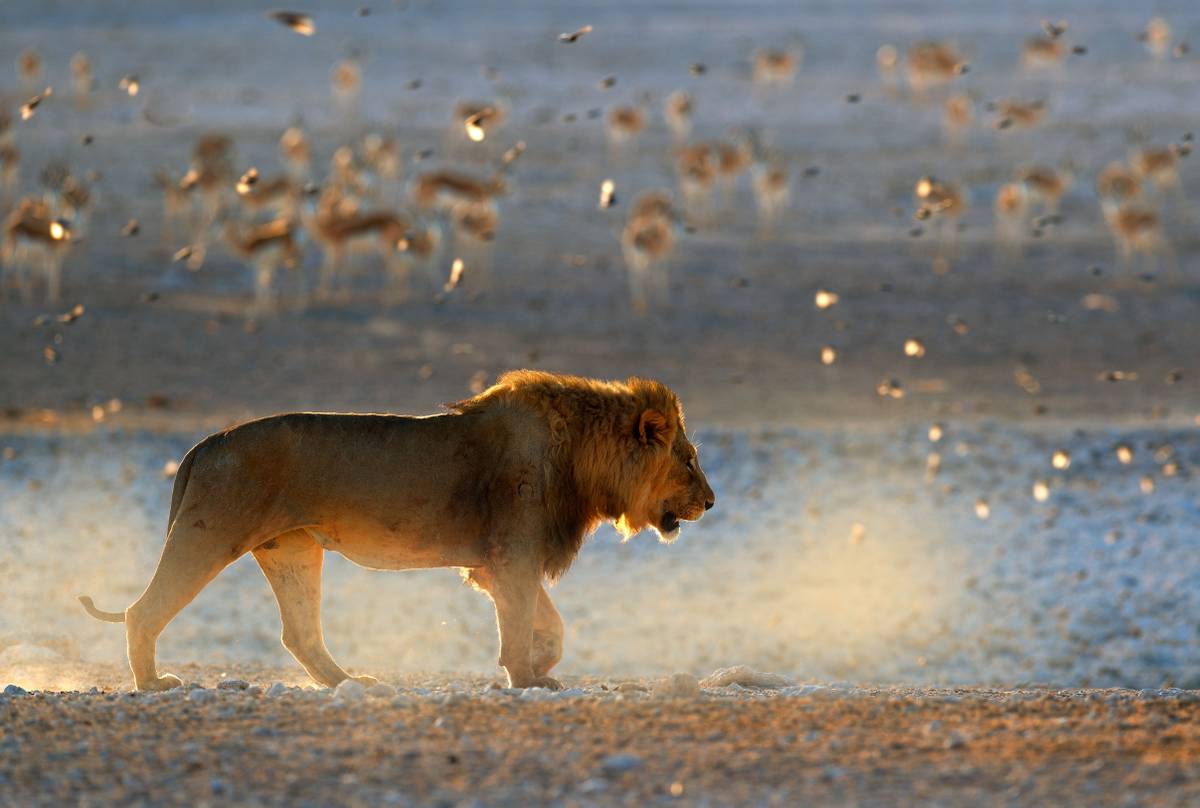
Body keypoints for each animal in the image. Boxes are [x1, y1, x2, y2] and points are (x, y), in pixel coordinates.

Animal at [79, 369, 710, 691]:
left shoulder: (496, 563)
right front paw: (527, 678)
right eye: (689, 460)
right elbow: (524, 621)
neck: (583, 454)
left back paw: (351, 683)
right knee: (143, 610)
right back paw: (152, 684)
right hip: (209, 535)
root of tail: (206, 441)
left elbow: (550, 625)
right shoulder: (513, 555)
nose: (711, 501)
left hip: (293, 551)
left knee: (300, 635)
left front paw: (540, 666)